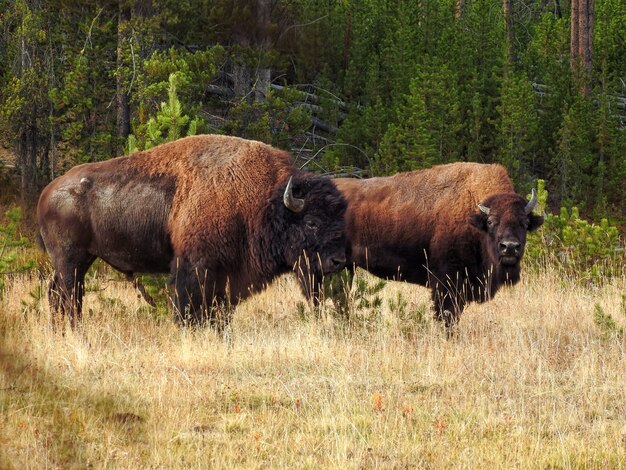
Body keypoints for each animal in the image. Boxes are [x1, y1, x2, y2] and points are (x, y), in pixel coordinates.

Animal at [36, 134, 348, 328]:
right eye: (311, 222)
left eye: (340, 219)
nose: (338, 260)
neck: (262, 200)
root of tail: (47, 192)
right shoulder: (194, 268)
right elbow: (189, 307)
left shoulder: (226, 277)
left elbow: (219, 311)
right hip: (71, 260)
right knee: (69, 297)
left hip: (81, 260)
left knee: (56, 295)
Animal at [316, 163, 540, 332]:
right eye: (492, 222)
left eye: (524, 223)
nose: (509, 247)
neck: (474, 217)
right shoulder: (446, 280)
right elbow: (447, 315)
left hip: (346, 267)